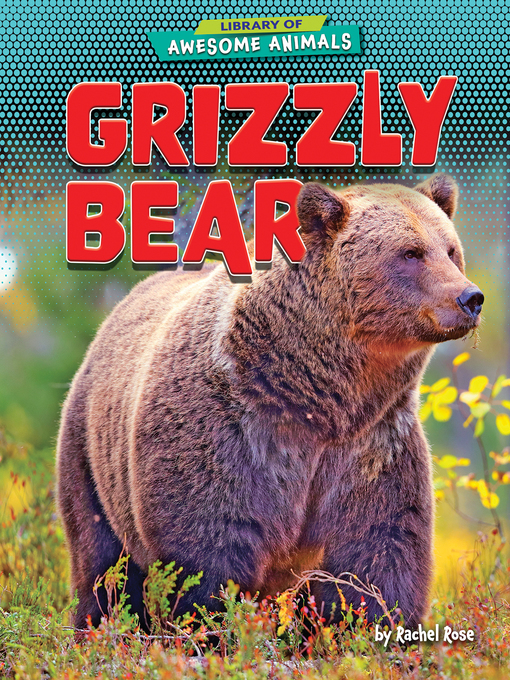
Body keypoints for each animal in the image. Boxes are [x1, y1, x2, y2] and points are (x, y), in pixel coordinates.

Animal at [56, 174, 484, 631]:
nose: (469, 298)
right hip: (89, 451)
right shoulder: (231, 430)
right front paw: (210, 625)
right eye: (410, 252)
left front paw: (367, 623)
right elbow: (206, 546)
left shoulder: (373, 443)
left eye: (451, 250)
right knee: (101, 561)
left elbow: (379, 550)